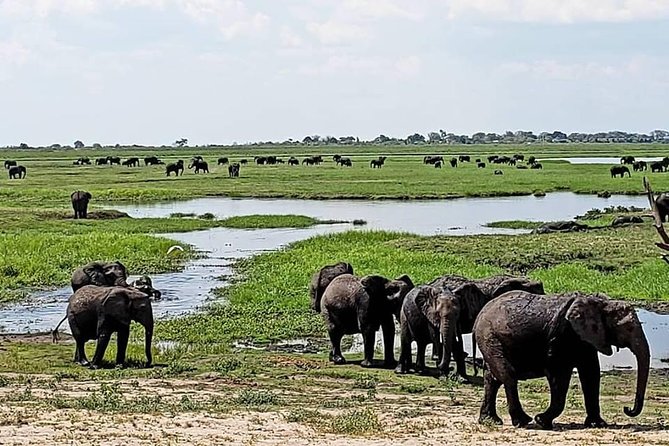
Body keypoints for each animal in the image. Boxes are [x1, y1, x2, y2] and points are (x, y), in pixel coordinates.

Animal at [474, 291, 649, 430]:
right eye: (628, 328)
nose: (627, 409)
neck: (600, 303)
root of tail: (480, 314)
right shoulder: (563, 334)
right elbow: (558, 374)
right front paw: (542, 421)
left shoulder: (585, 337)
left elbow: (591, 373)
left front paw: (598, 424)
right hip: (490, 336)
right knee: (508, 375)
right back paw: (523, 421)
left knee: (492, 378)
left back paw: (491, 421)